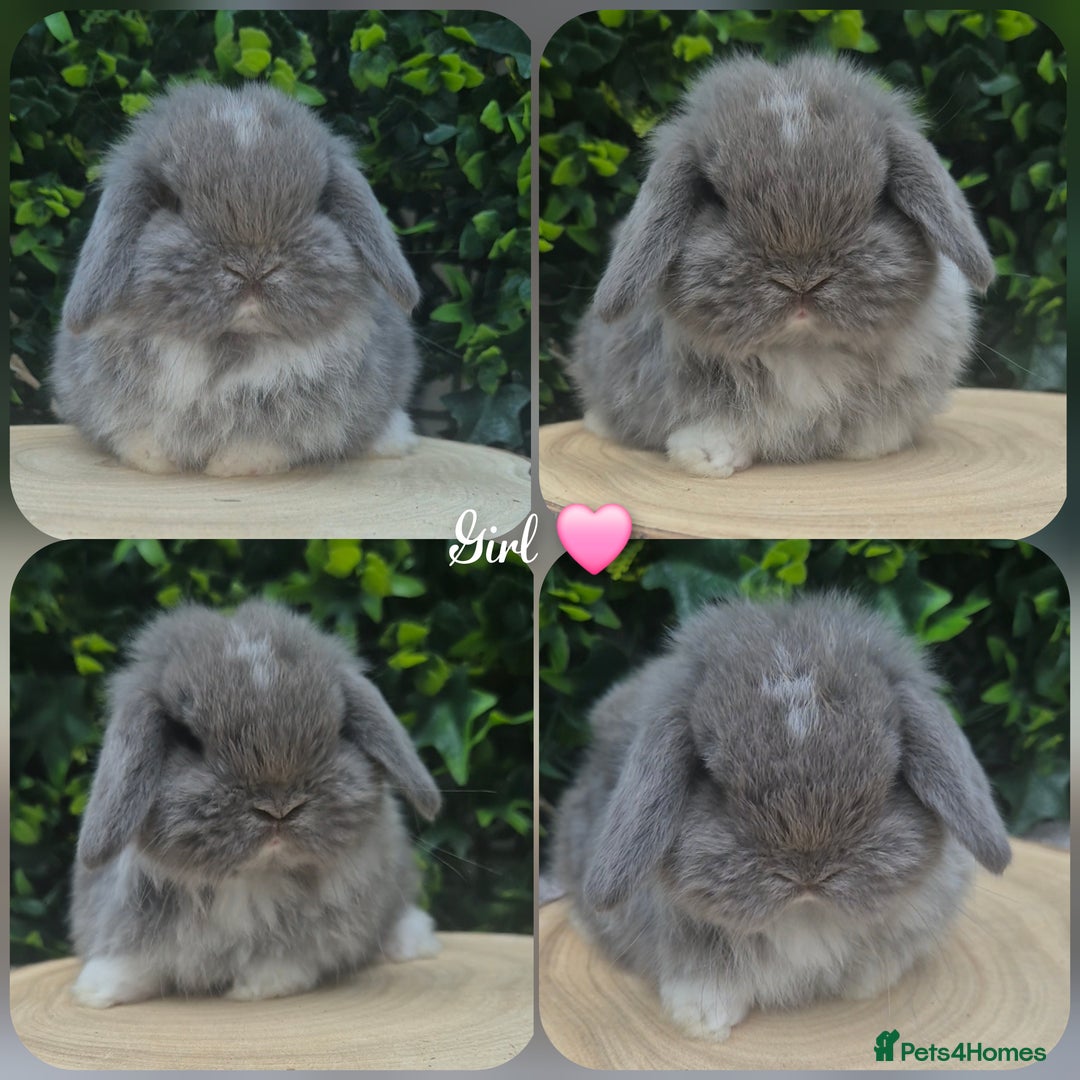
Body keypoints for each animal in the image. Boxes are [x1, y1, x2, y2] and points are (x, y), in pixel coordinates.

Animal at [51, 82, 422, 476]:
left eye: (320, 202)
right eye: (172, 201)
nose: (253, 266)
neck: (227, 353)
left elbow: (266, 442)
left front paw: (231, 465)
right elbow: (139, 435)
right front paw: (154, 459)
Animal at [69, 600, 442, 1007]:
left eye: (337, 730)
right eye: (188, 739)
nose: (279, 808)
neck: (250, 880)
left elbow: (289, 958)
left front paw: (260, 986)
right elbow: (132, 958)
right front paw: (95, 989)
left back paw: (414, 941)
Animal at [552, 593, 1011, 1040]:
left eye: (892, 769)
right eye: (710, 774)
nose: (808, 872)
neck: (803, 919)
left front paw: (867, 984)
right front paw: (704, 1023)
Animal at [569, 54, 996, 476]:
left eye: (879, 197)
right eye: (714, 198)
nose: (801, 281)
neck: (801, 350)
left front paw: (866, 447)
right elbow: (714, 427)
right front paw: (706, 460)